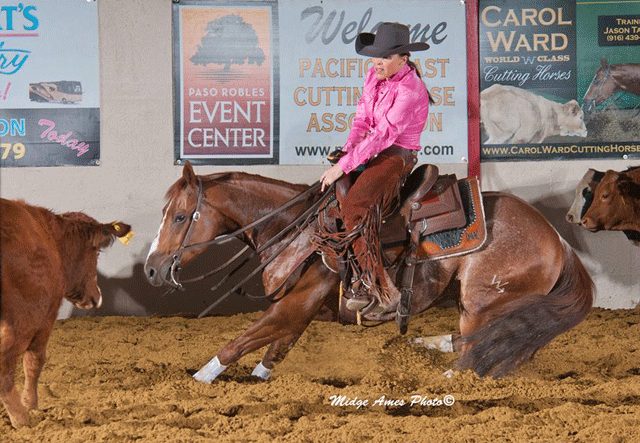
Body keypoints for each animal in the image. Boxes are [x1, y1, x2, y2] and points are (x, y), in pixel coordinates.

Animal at [144, 162, 593, 381]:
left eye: (180, 216)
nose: (150, 269)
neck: (295, 228)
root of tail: (558, 239)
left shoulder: (295, 303)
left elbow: (237, 345)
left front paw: (197, 380)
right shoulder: (301, 309)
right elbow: (274, 352)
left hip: (482, 303)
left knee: (475, 354)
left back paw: (445, 377)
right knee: (493, 346)